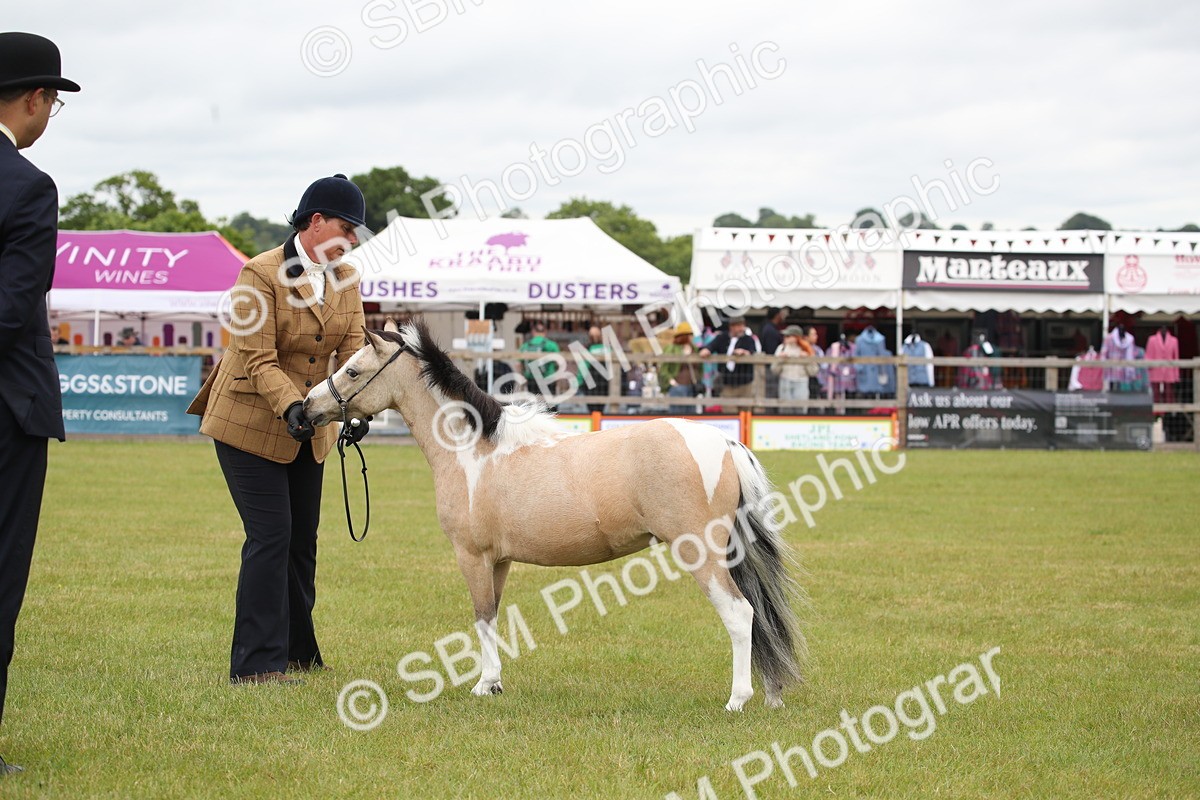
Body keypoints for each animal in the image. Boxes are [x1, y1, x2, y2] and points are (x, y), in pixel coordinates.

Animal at [303, 319, 804, 710]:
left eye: (352, 370)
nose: (307, 407)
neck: (473, 449)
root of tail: (725, 442)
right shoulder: (499, 561)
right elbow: (493, 616)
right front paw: (494, 683)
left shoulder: (472, 556)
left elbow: (480, 617)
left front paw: (483, 686)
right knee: (757, 615)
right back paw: (771, 694)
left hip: (700, 552)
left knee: (739, 613)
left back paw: (738, 699)